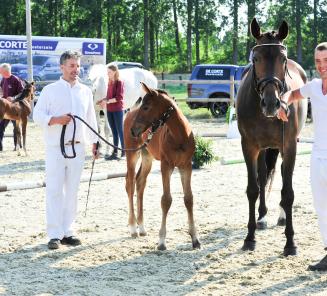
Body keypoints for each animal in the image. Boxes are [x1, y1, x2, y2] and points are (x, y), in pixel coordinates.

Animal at [124, 82, 201, 251]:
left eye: (146, 107)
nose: (134, 129)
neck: (179, 136)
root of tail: (129, 111)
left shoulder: (186, 166)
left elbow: (189, 198)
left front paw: (195, 239)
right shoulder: (166, 166)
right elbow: (166, 200)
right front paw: (161, 241)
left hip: (147, 156)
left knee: (140, 183)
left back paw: (142, 227)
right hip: (132, 154)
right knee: (130, 184)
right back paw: (133, 228)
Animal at [237, 18, 308, 256]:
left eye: (282, 59)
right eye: (256, 58)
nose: (271, 103)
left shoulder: (289, 146)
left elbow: (288, 193)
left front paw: (290, 242)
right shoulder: (249, 146)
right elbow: (253, 189)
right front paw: (249, 238)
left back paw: (281, 216)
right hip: (263, 149)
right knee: (262, 176)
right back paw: (262, 217)